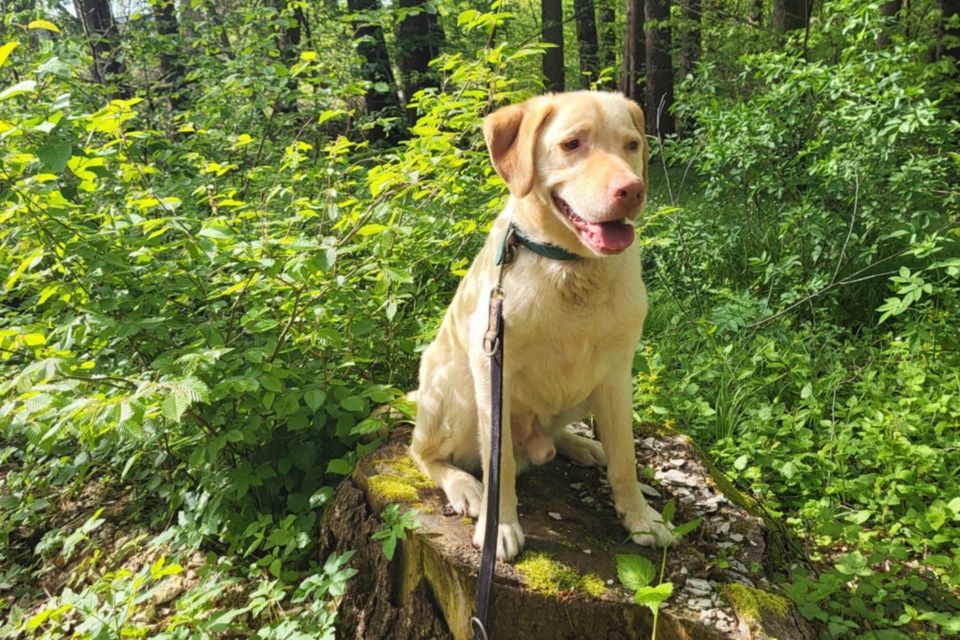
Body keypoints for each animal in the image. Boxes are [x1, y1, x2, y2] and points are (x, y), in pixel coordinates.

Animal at [410, 90, 676, 560]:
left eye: (631, 145)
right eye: (572, 144)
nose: (632, 189)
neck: (572, 268)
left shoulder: (617, 373)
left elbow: (625, 457)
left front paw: (640, 517)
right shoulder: (493, 369)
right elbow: (499, 464)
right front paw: (499, 526)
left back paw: (581, 444)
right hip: (455, 391)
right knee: (424, 452)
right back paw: (464, 486)